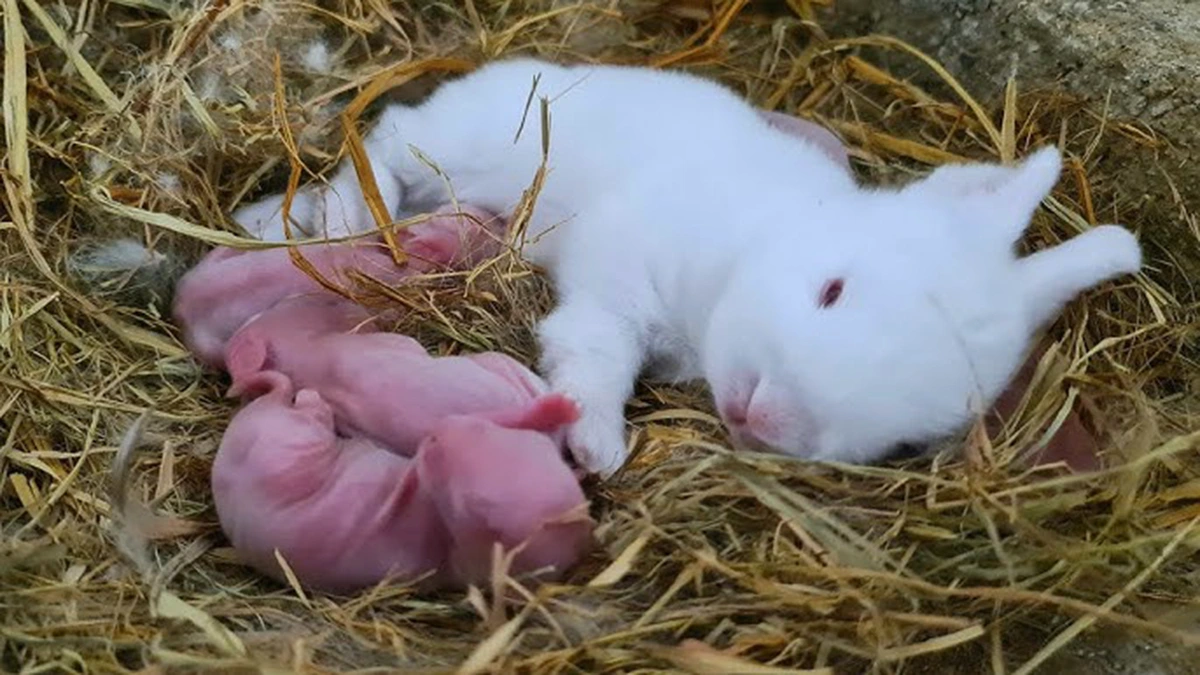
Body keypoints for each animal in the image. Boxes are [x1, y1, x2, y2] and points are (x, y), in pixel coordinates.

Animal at [212, 369, 592, 594]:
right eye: (488, 435)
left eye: (468, 503)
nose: (435, 432)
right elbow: (504, 416)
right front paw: (557, 408)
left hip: (284, 443)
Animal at [230, 57, 1143, 477]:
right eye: (832, 290)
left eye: (908, 436)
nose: (764, 416)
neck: (753, 241)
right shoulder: (618, 285)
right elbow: (594, 356)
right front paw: (597, 444)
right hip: (468, 138)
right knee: (383, 140)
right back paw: (336, 219)